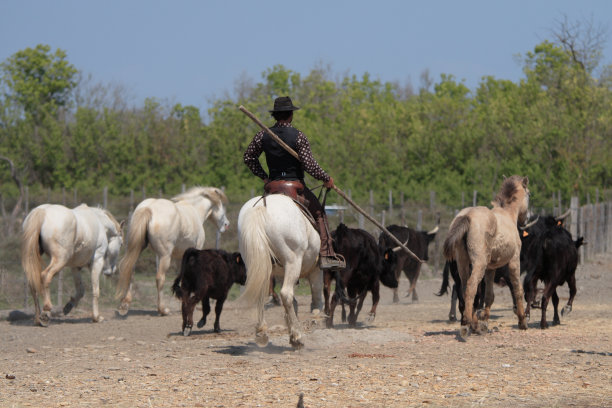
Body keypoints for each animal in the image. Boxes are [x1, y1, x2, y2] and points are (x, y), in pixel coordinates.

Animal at [115, 186, 230, 318]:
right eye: (221, 206)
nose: (226, 225)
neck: (195, 211)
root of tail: (149, 208)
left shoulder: (181, 257)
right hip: (165, 256)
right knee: (160, 278)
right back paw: (163, 310)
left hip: (136, 249)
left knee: (130, 271)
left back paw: (125, 304)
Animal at [238, 193, 326, 350]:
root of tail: (262, 206)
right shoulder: (316, 271)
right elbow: (316, 298)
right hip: (293, 261)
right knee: (286, 294)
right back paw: (297, 336)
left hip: (256, 264)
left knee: (261, 292)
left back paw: (262, 333)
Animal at [444, 176, 532, 338]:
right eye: (529, 194)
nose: (526, 219)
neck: (507, 215)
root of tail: (467, 216)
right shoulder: (514, 262)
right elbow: (518, 289)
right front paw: (523, 321)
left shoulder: (491, 269)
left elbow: (489, 296)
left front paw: (484, 322)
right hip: (479, 263)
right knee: (471, 287)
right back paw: (466, 324)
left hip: (463, 264)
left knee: (465, 290)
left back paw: (475, 325)